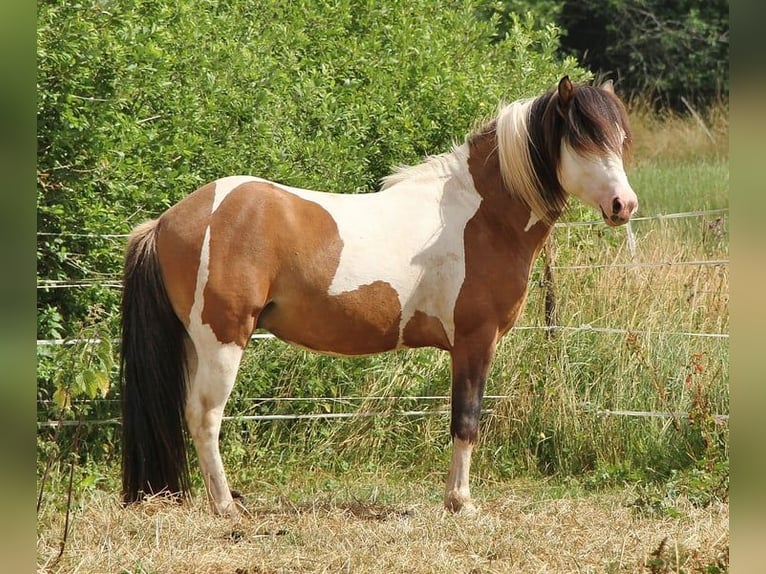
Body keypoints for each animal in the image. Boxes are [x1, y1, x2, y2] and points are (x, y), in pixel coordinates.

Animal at [120, 76, 637, 517]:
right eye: (583, 140)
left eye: (619, 140)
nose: (625, 205)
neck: (480, 216)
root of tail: (168, 220)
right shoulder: (475, 340)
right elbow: (466, 420)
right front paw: (461, 502)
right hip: (222, 340)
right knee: (205, 416)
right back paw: (227, 506)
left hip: (195, 343)